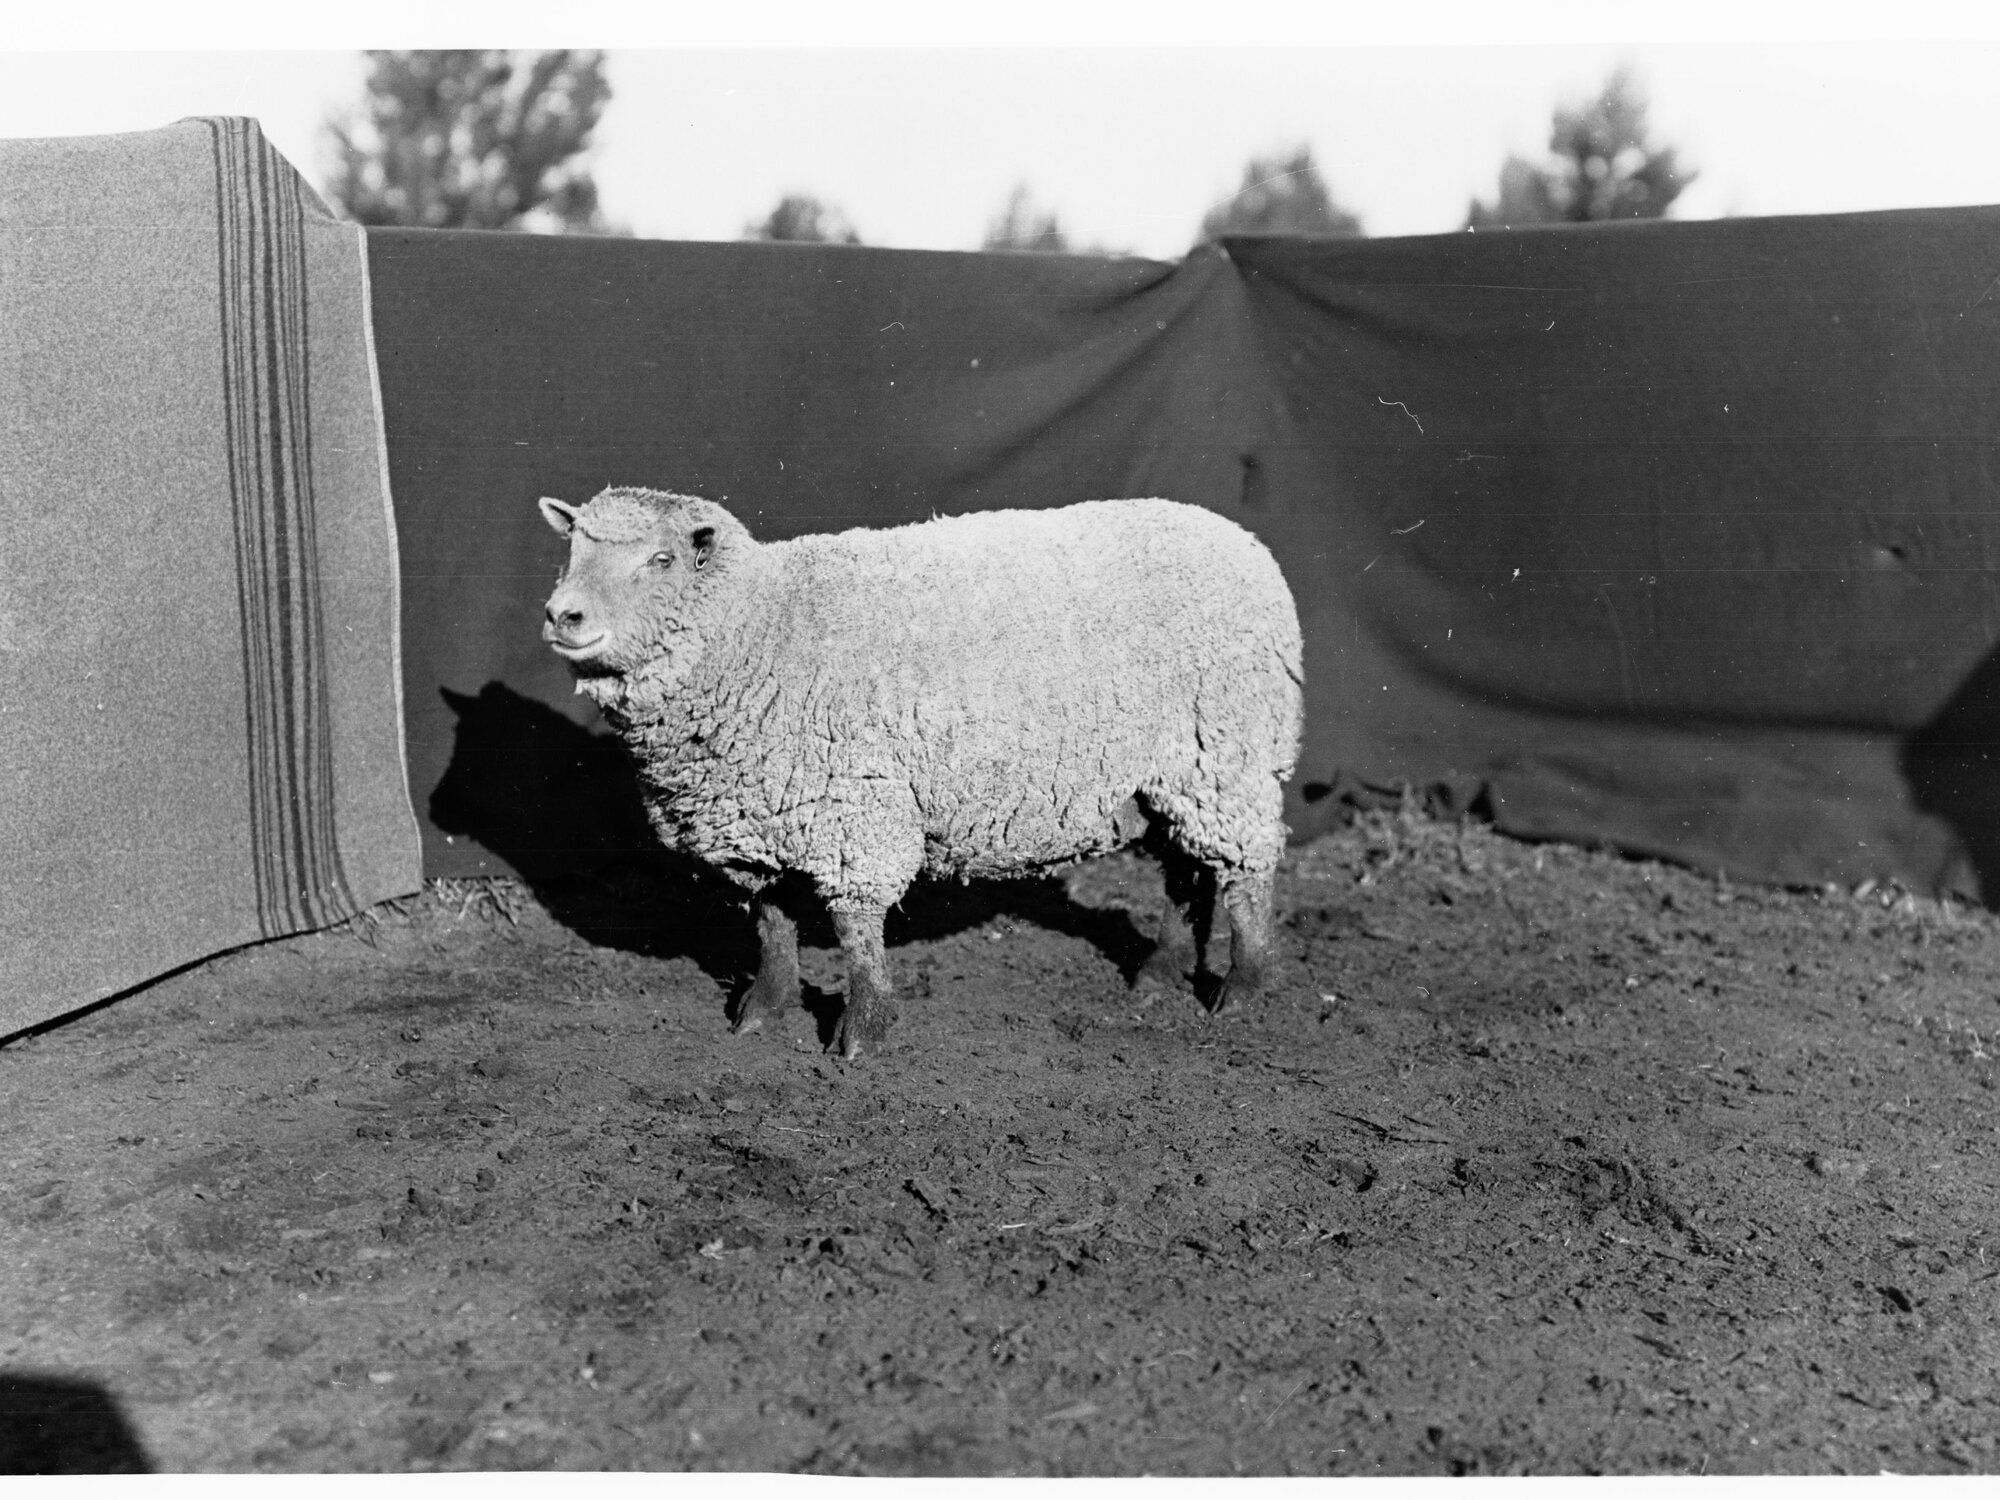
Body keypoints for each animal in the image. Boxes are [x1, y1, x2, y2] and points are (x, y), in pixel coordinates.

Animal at [538, 486, 1303, 1059]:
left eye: (661, 559)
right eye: (573, 550)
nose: (560, 615)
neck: (765, 624)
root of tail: (1237, 537)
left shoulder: (853, 811)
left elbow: (854, 927)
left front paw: (865, 1030)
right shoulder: (758, 818)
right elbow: (772, 922)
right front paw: (764, 1009)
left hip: (1228, 751)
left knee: (1245, 872)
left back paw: (1244, 988)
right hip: (1167, 773)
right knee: (1184, 873)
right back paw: (1160, 971)